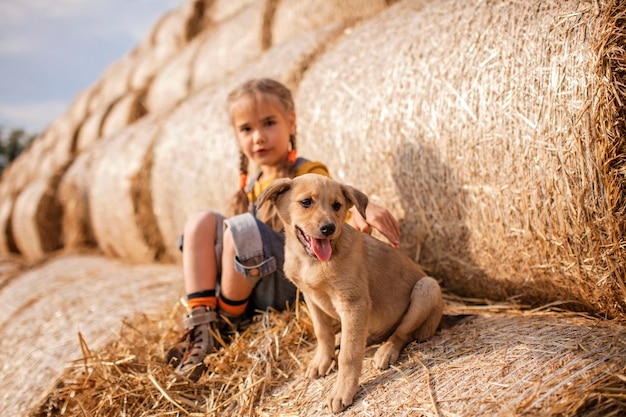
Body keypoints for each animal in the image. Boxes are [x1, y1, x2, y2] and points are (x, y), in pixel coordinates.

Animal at [258, 173, 444, 412]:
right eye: (306, 202)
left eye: (337, 205)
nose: (328, 228)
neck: (311, 262)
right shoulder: (311, 298)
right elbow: (322, 333)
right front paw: (322, 360)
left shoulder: (353, 303)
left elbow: (349, 354)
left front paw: (342, 391)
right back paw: (344, 338)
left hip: (427, 288)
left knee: (402, 333)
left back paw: (386, 351)